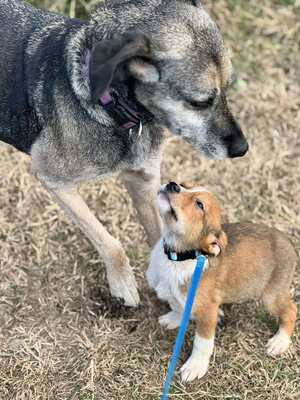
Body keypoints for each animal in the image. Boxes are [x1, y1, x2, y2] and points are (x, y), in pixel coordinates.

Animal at [0, 0, 247, 306]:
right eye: (200, 102)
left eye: (227, 88)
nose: (242, 148)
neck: (118, 109)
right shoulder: (53, 179)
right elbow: (109, 241)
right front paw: (123, 284)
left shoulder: (144, 181)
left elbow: (161, 237)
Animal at [146, 181, 296, 382]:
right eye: (185, 185)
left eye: (199, 205)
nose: (172, 184)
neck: (178, 258)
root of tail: (290, 244)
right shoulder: (175, 294)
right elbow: (177, 306)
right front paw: (173, 318)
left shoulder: (207, 312)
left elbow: (202, 343)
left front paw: (195, 366)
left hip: (271, 297)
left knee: (291, 311)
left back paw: (280, 342)